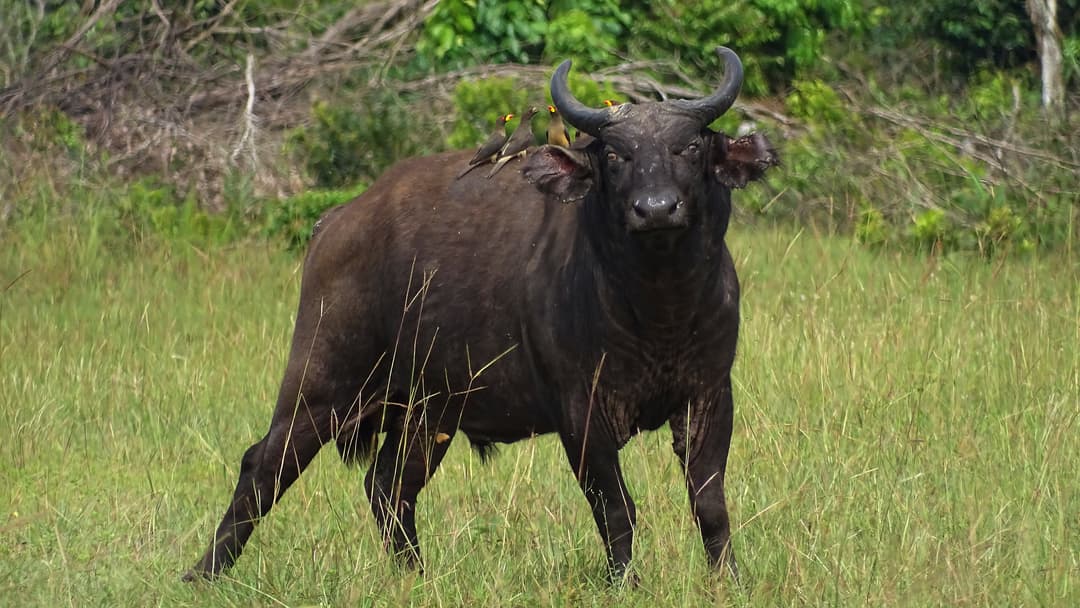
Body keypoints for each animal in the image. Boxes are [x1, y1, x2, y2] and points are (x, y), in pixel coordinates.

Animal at [183, 46, 777, 578]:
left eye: (690, 147)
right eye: (614, 154)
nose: (655, 209)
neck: (658, 308)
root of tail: (338, 220)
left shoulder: (709, 394)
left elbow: (709, 504)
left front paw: (727, 579)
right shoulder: (580, 410)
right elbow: (615, 508)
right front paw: (624, 581)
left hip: (428, 410)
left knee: (388, 485)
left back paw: (414, 573)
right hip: (322, 381)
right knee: (264, 465)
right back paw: (205, 572)